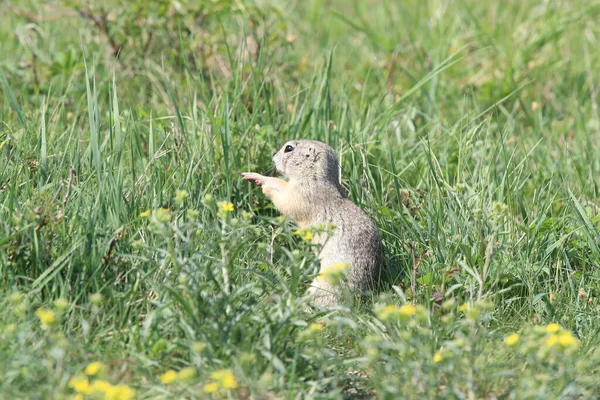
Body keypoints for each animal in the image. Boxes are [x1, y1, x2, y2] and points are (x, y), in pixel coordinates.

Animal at [243, 141, 386, 306]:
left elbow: (287, 202)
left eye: (289, 148)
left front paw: (265, 187)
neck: (315, 175)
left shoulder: (304, 193)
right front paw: (258, 177)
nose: (273, 158)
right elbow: (281, 184)